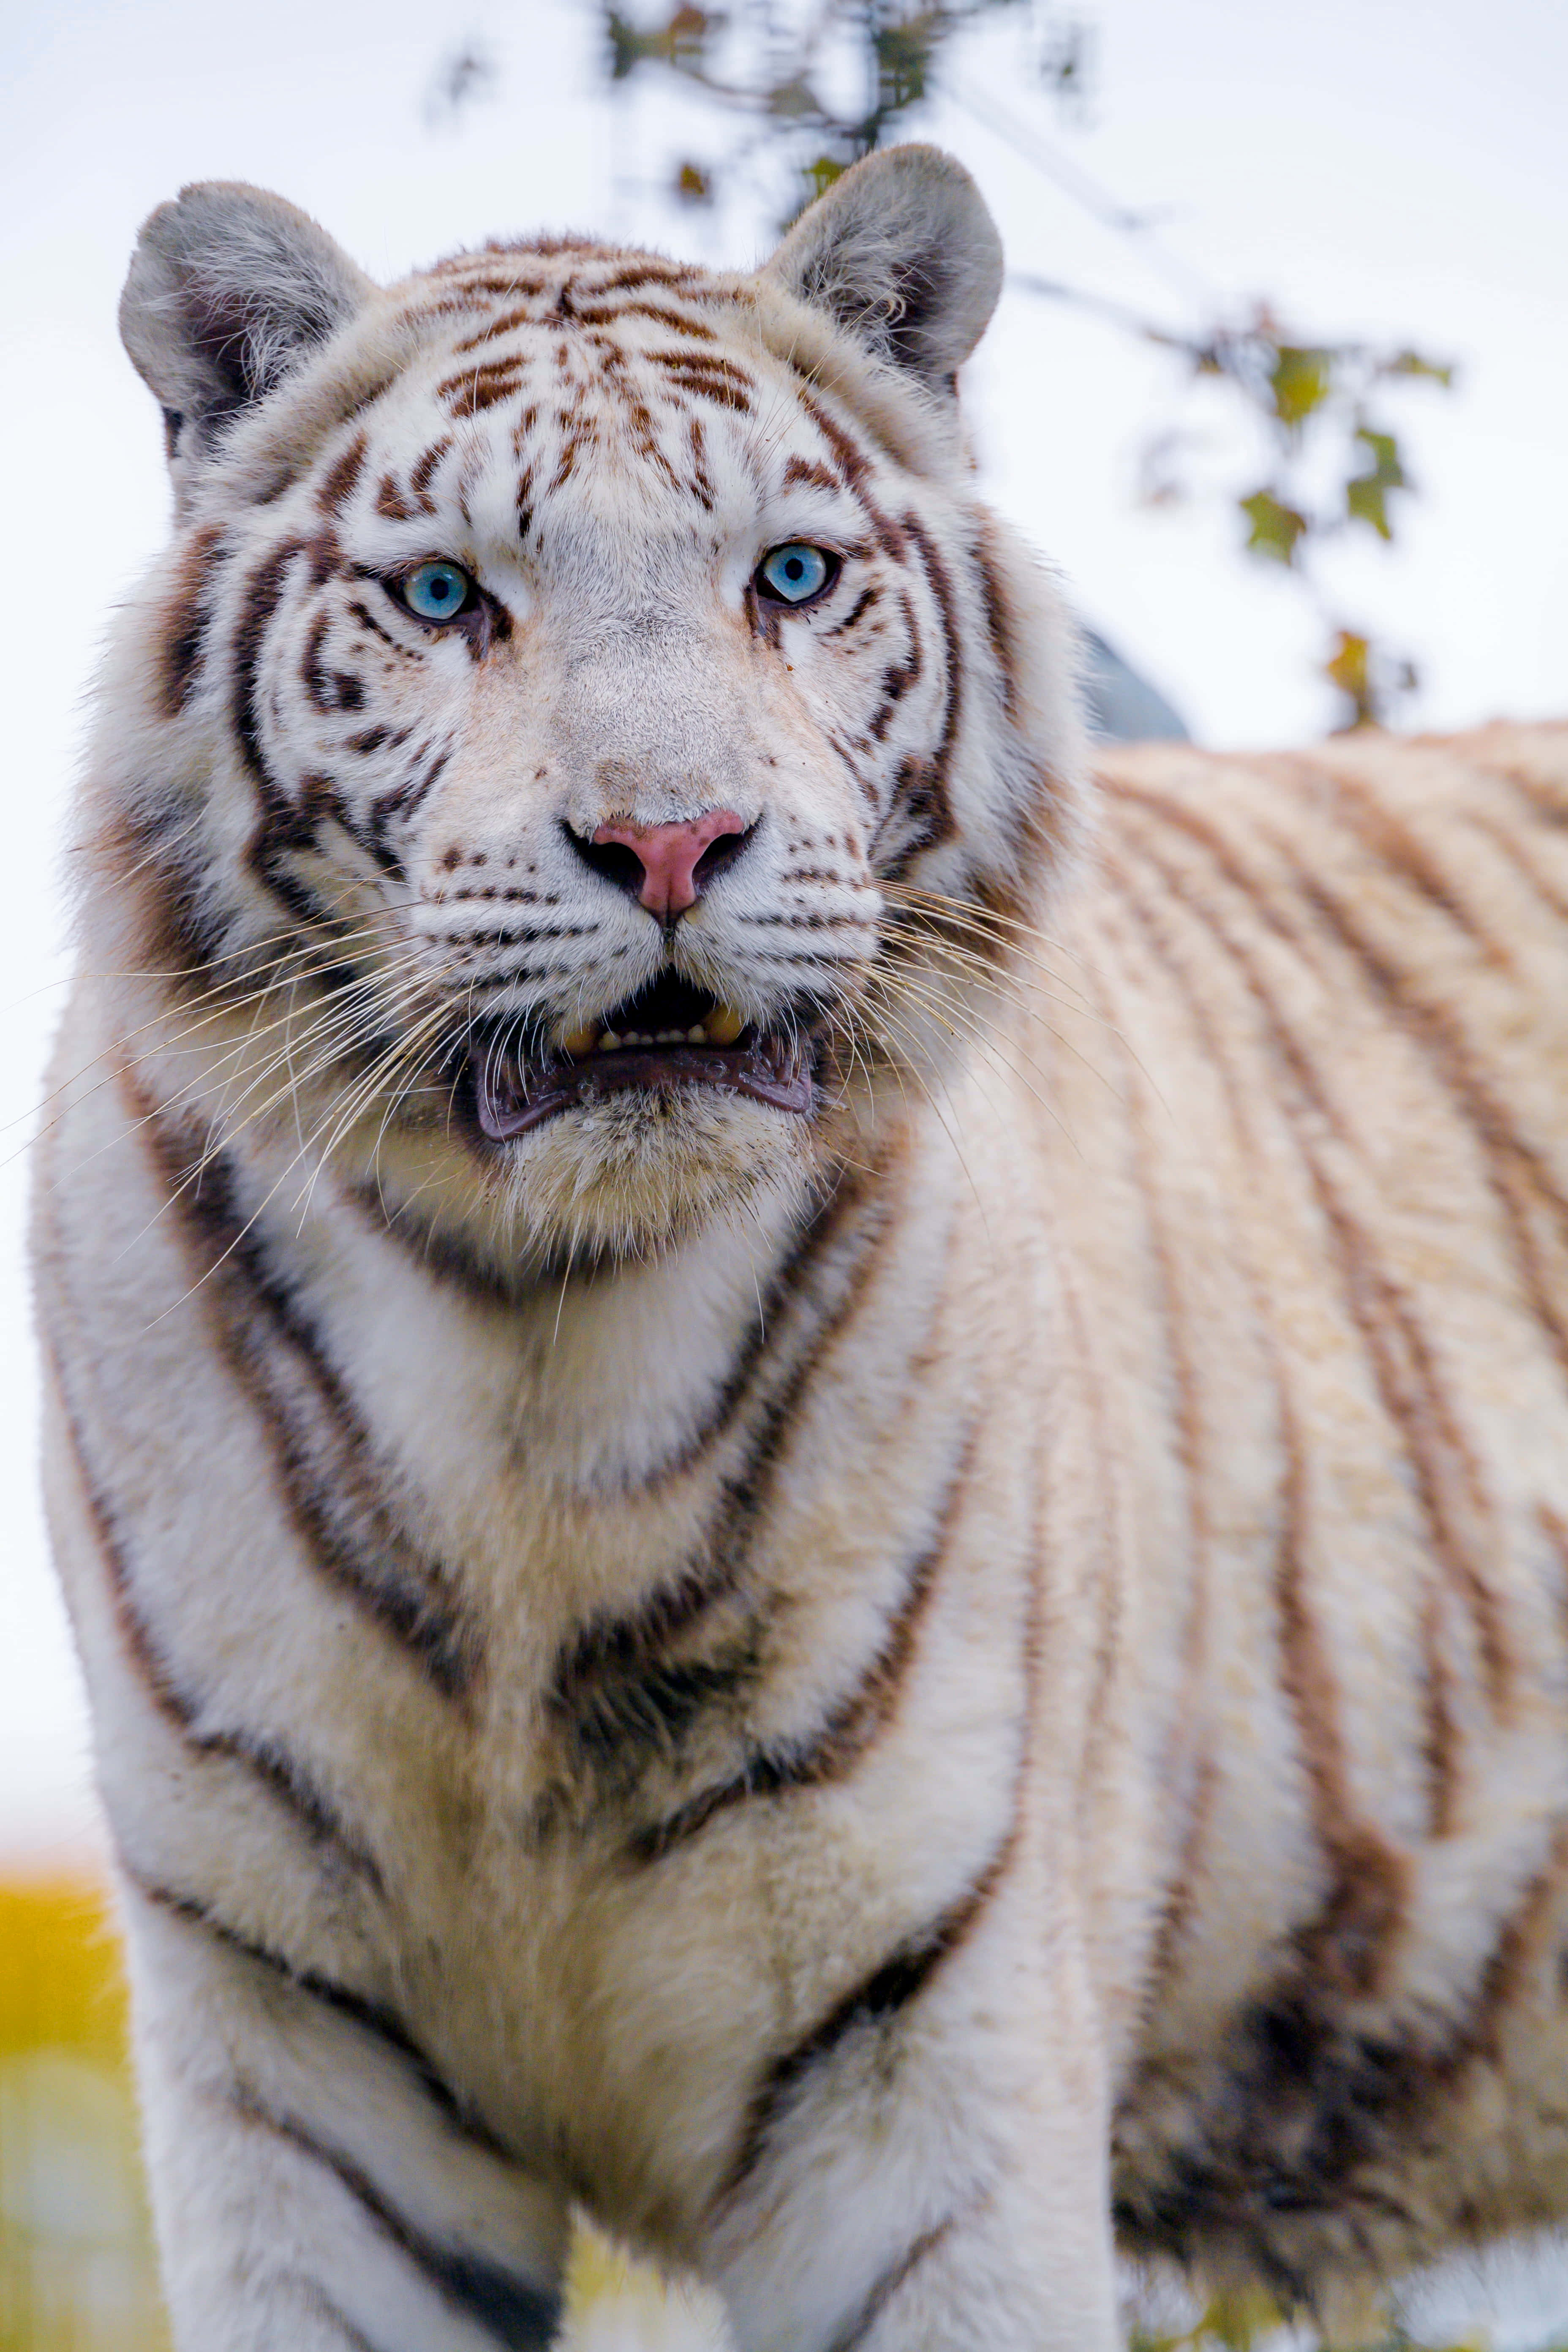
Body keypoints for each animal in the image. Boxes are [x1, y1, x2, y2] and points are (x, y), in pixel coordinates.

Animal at [29, 132, 1568, 2352]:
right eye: (444, 597)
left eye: (789, 577)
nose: (669, 842)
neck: (532, 1355)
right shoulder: (292, 2054)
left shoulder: (932, 2048)